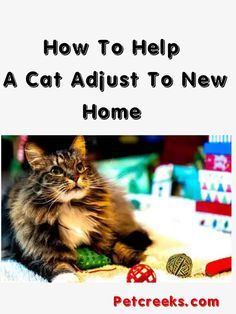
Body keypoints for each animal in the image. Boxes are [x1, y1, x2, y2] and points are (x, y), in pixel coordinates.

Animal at [1, 136, 151, 280]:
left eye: (79, 167)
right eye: (56, 171)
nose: (75, 177)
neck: (71, 206)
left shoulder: (105, 237)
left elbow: (120, 247)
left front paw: (143, 263)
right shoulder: (35, 255)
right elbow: (59, 268)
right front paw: (68, 279)